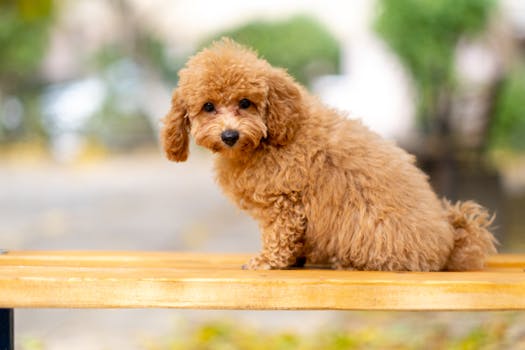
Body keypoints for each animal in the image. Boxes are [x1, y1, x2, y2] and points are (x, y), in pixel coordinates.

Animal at [161, 39, 496, 272]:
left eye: (245, 103)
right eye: (208, 107)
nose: (229, 135)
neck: (268, 139)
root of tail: (449, 242)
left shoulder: (285, 201)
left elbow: (279, 235)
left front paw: (267, 261)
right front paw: (294, 260)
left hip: (371, 230)